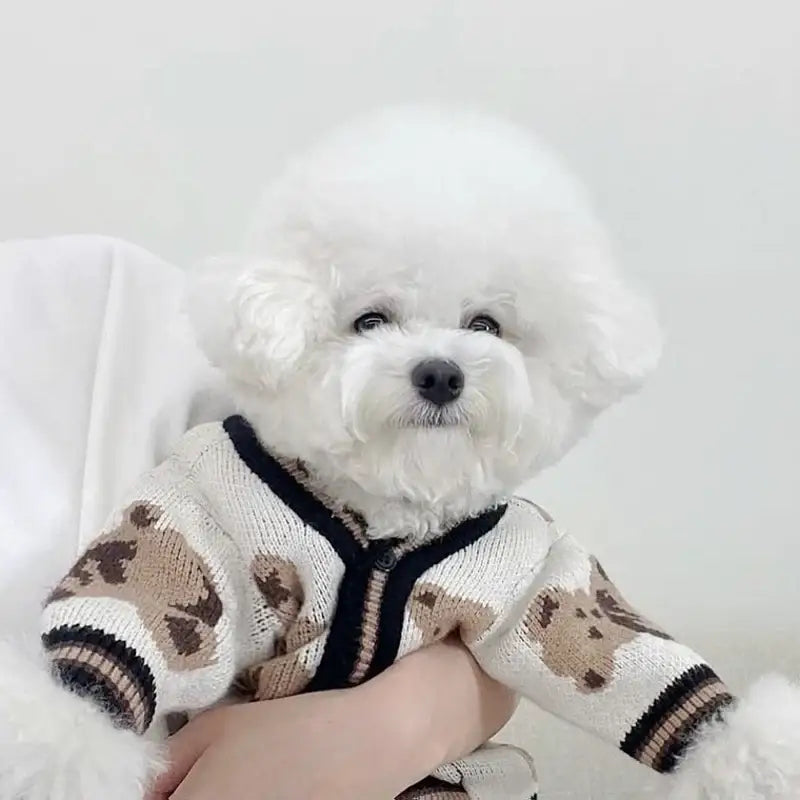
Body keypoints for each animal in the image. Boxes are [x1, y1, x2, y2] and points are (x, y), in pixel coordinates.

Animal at [1, 108, 800, 800]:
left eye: (487, 324)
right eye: (370, 320)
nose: (441, 373)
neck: (386, 514)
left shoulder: (529, 572)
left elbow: (620, 656)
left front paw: (754, 753)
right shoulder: (208, 513)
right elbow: (142, 608)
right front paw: (52, 738)